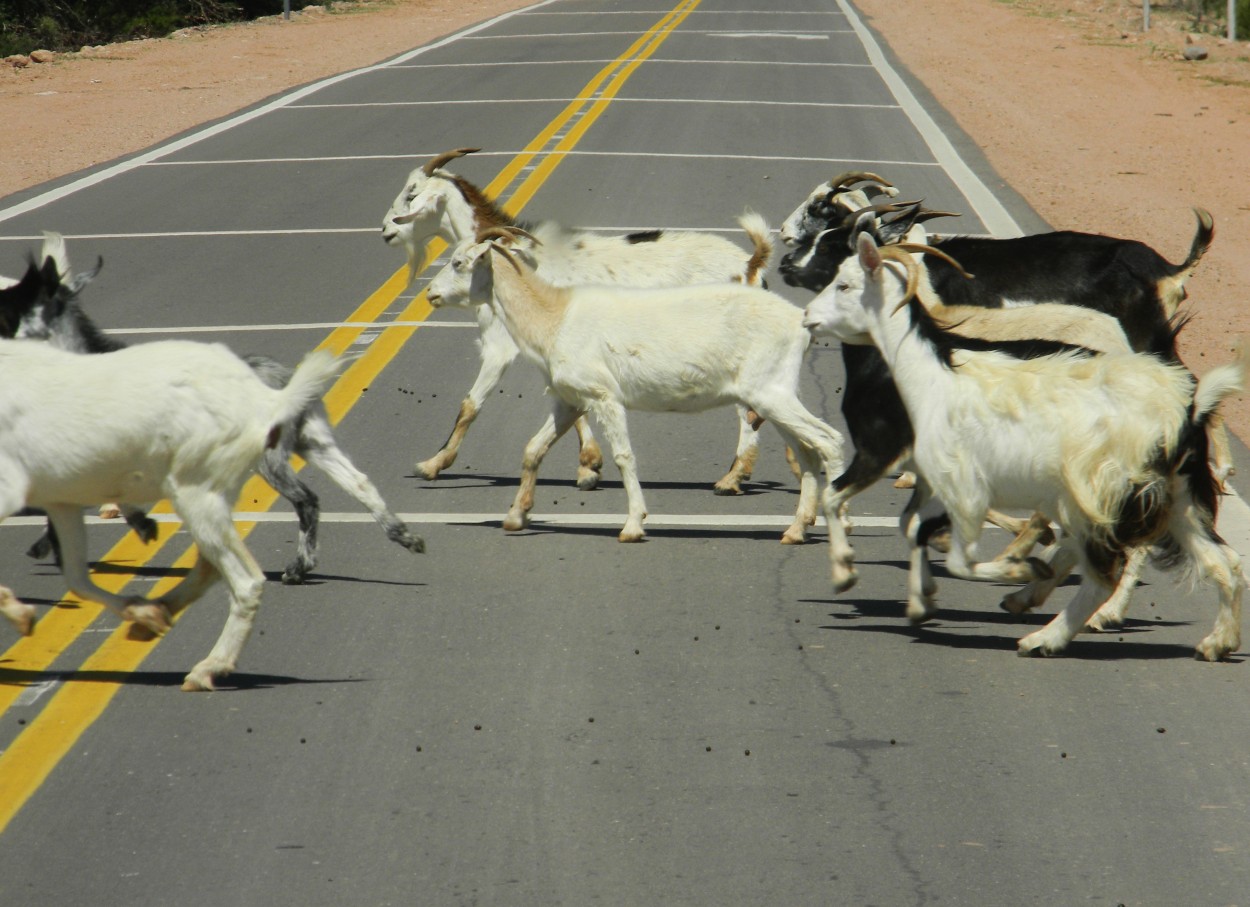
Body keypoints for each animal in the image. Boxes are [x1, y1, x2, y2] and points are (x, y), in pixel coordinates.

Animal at [0, 234, 427, 587]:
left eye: (13, 307)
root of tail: (282, 379)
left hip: (269, 456)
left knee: (308, 500)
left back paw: (298, 568)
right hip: (313, 441)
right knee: (360, 482)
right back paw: (405, 537)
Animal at [377, 147, 770, 497]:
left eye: (411, 193)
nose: (385, 230)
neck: (509, 256)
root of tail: (750, 266)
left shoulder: (501, 346)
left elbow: (470, 405)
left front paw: (432, 464)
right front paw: (589, 466)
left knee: (747, 411)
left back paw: (732, 477)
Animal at [422, 227, 850, 554]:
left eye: (459, 263)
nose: (430, 295)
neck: (556, 317)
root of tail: (799, 322)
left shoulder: (604, 398)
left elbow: (624, 457)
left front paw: (632, 526)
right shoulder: (568, 403)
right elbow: (533, 450)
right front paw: (515, 517)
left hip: (772, 395)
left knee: (829, 441)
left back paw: (839, 523)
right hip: (775, 399)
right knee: (808, 454)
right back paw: (795, 530)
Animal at [800, 231, 1240, 664]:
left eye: (844, 284)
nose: (807, 317)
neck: (934, 378)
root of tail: (1188, 409)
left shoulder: (961, 491)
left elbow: (958, 560)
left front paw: (1019, 569)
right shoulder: (936, 486)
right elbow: (912, 528)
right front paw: (921, 600)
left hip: (1098, 497)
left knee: (1103, 576)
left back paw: (1044, 635)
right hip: (1179, 498)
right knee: (1226, 564)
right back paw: (1219, 642)